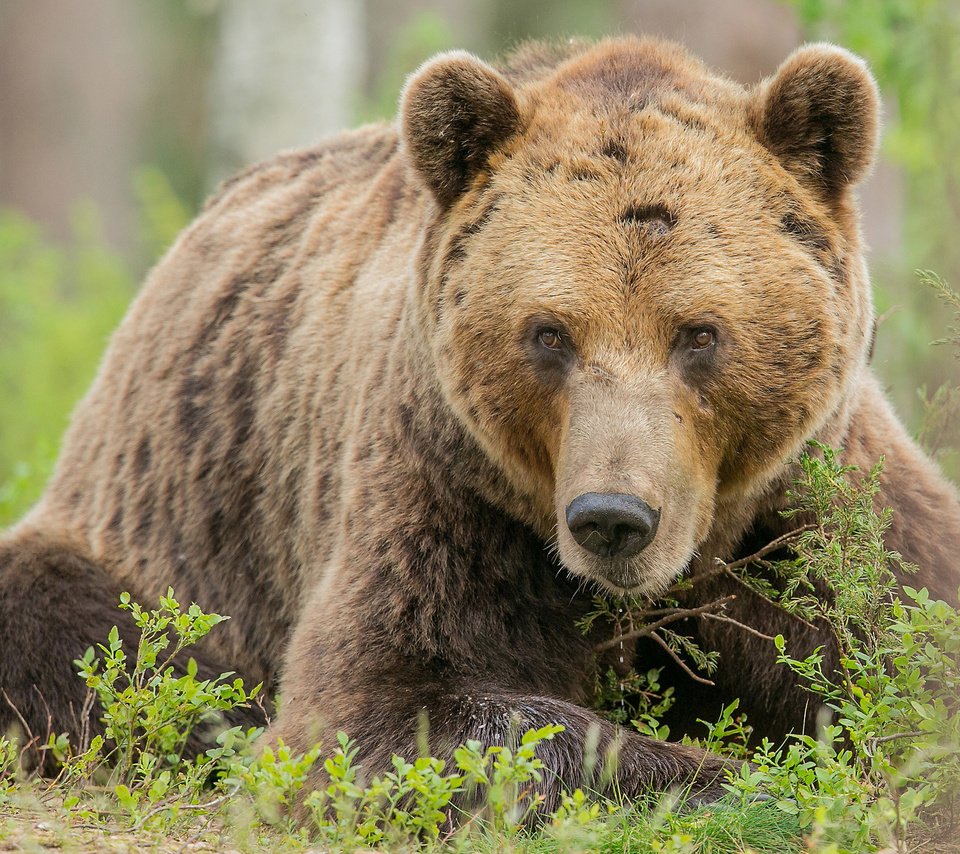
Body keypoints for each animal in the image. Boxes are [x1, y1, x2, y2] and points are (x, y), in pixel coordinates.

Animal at [1, 35, 960, 808]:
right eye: (550, 333)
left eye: (699, 333)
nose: (613, 517)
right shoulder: (450, 492)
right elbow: (386, 709)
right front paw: (733, 778)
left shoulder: (807, 517)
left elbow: (905, 646)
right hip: (161, 531)